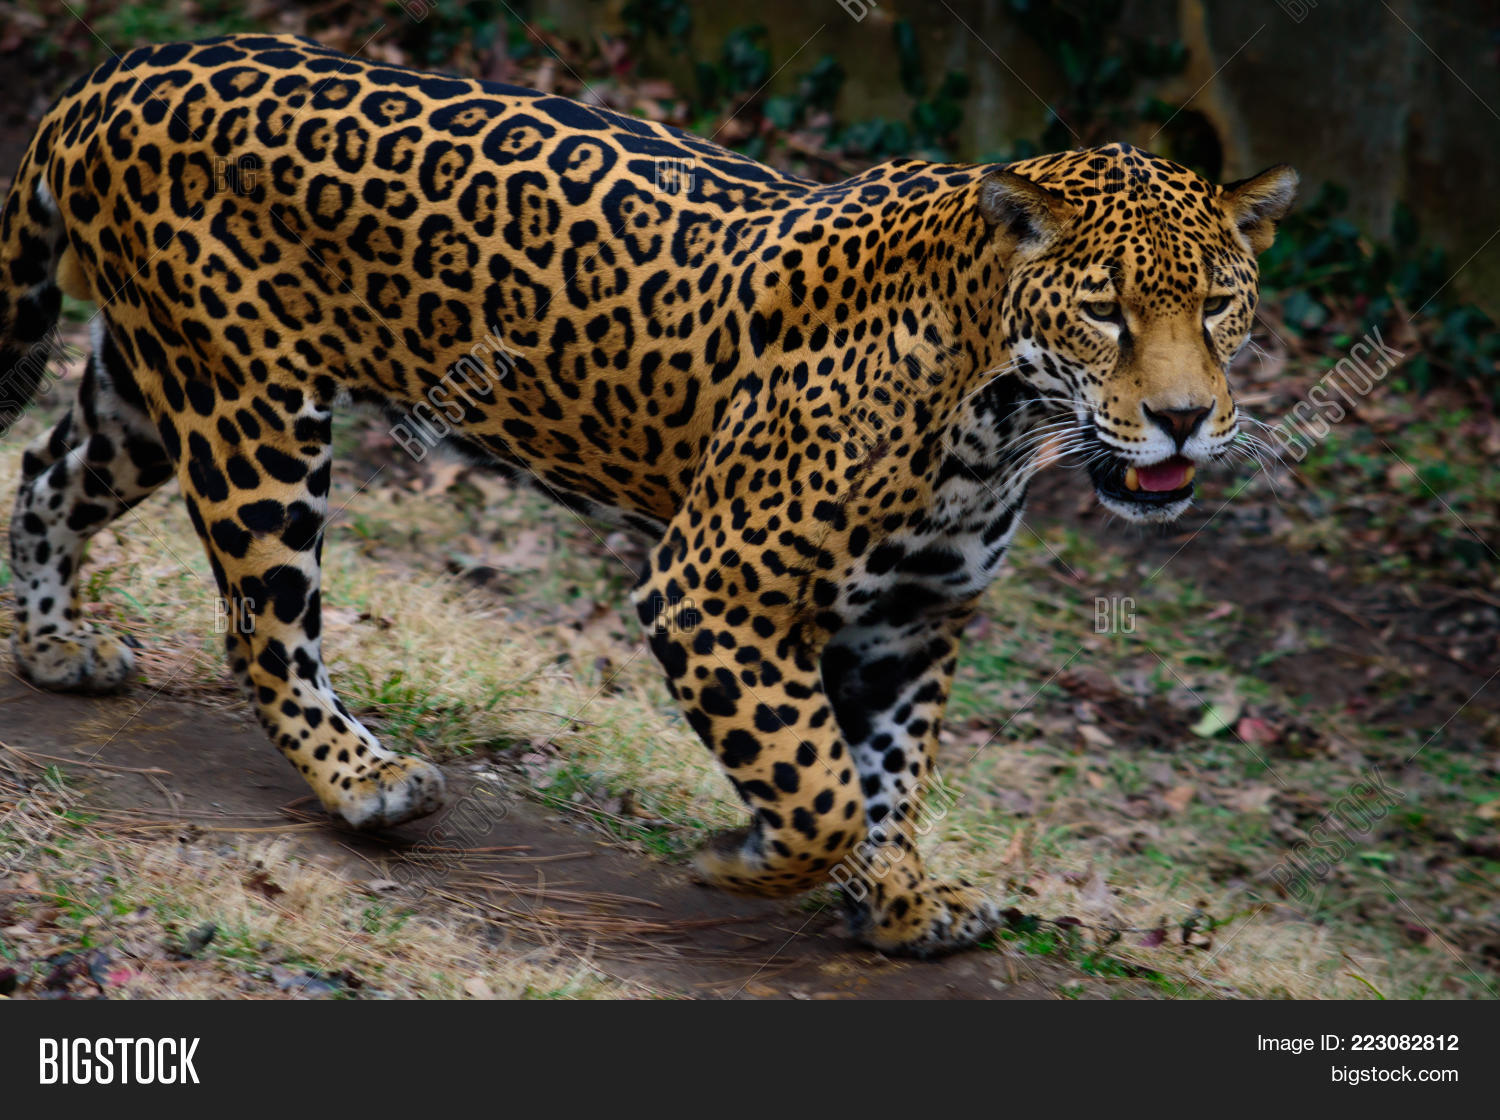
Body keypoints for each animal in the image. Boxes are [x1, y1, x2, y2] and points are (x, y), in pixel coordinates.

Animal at [0, 33, 1296, 955]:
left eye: (1220, 304)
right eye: (1105, 311)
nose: (1187, 416)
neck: (998, 415)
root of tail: (123, 71)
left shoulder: (912, 620)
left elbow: (891, 776)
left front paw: (896, 903)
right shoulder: (713, 590)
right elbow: (818, 779)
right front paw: (749, 858)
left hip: (154, 390)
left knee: (45, 475)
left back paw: (55, 646)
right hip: (253, 412)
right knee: (263, 629)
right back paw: (365, 783)